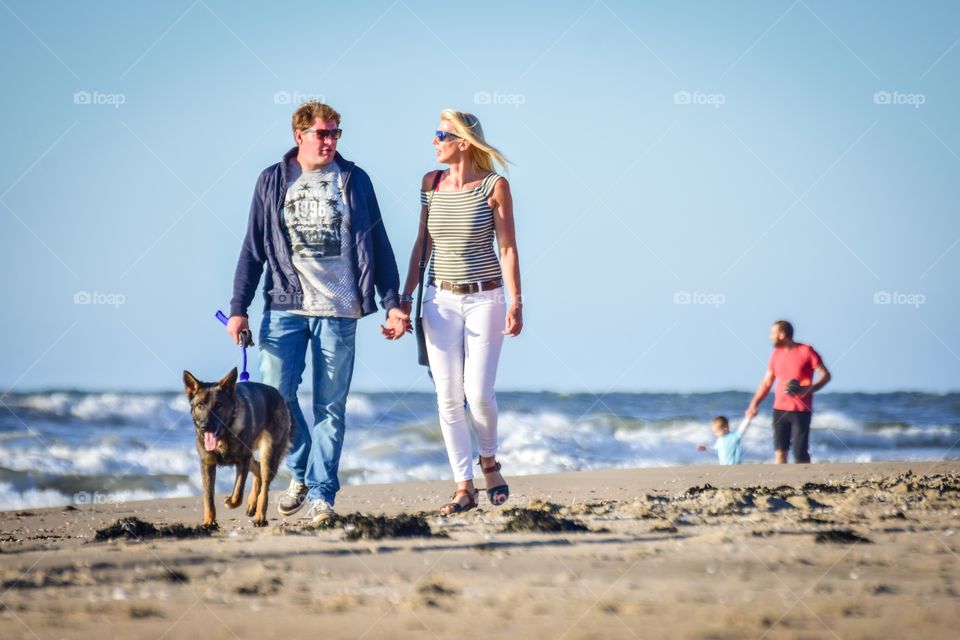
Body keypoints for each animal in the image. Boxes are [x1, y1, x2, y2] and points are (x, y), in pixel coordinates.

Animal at [182, 368, 290, 528]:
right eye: (200, 405)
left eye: (218, 405)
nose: (204, 426)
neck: (223, 436)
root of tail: (278, 395)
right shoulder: (207, 464)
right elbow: (208, 497)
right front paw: (209, 521)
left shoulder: (242, 461)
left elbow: (238, 493)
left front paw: (229, 502)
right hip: (251, 456)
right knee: (257, 469)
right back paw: (252, 503)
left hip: (268, 455)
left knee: (264, 486)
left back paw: (259, 515)